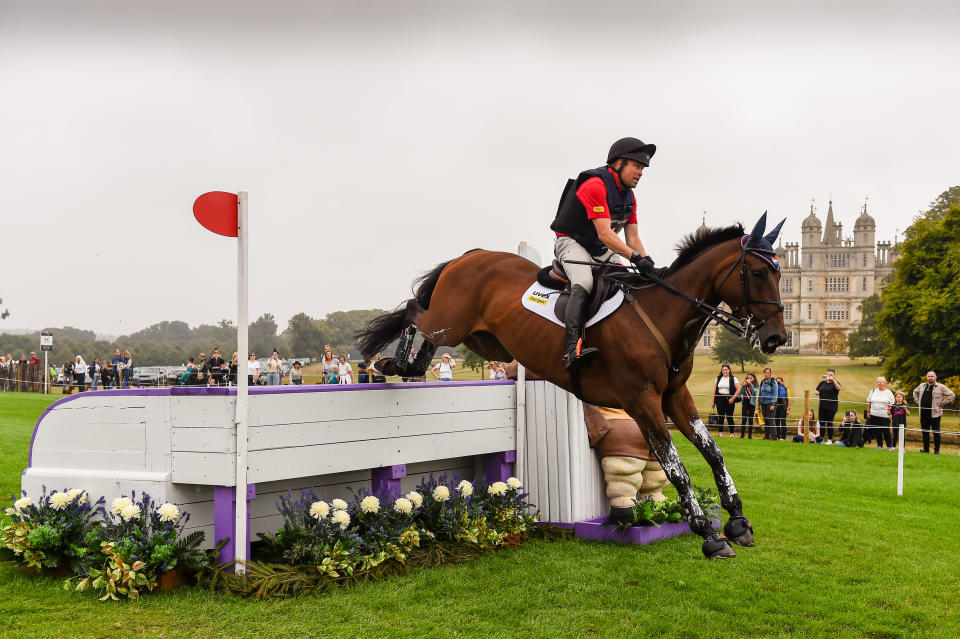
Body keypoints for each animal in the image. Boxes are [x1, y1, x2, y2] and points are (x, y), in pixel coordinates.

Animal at [356, 214, 784, 556]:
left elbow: (714, 454)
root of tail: (470, 255)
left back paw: (408, 363)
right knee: (415, 311)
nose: (776, 337)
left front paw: (738, 522)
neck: (664, 315)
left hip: (485, 339)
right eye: (758, 273)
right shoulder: (642, 401)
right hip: (452, 320)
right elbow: (675, 467)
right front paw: (708, 535)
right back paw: (394, 361)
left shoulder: (674, 396)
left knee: (426, 326)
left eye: (780, 274)